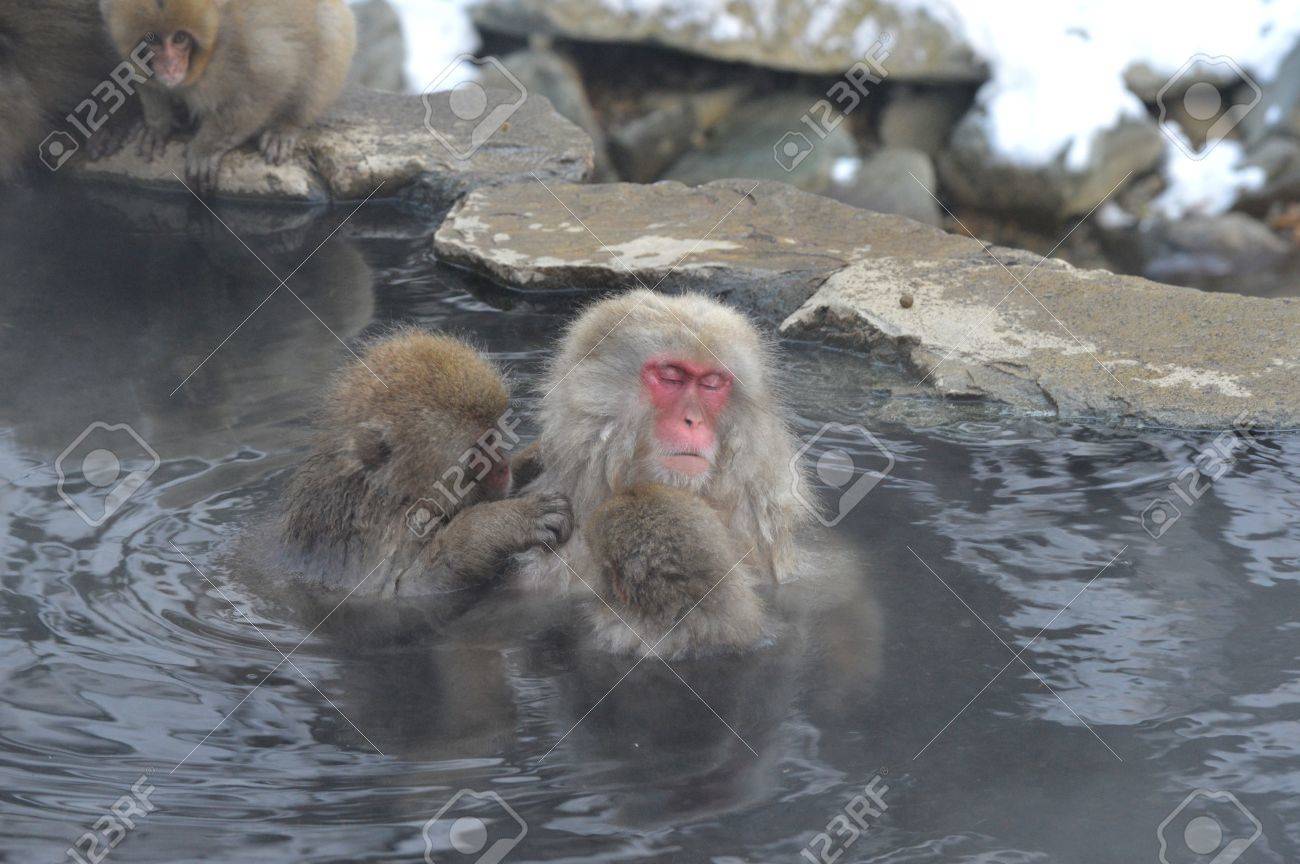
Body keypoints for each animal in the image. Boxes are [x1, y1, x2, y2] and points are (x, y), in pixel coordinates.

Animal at [98, 0, 357, 195]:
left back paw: (286, 125)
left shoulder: (247, 40)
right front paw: (157, 125)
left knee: (327, 35)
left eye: (180, 38)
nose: (170, 67)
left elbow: (269, 83)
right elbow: (147, 84)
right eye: (152, 39)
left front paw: (207, 146)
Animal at [277, 328, 572, 604]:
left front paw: (538, 455)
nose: (502, 469)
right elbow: (409, 588)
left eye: (494, 436)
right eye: (478, 449)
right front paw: (502, 522)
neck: (396, 495)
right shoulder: (383, 533)